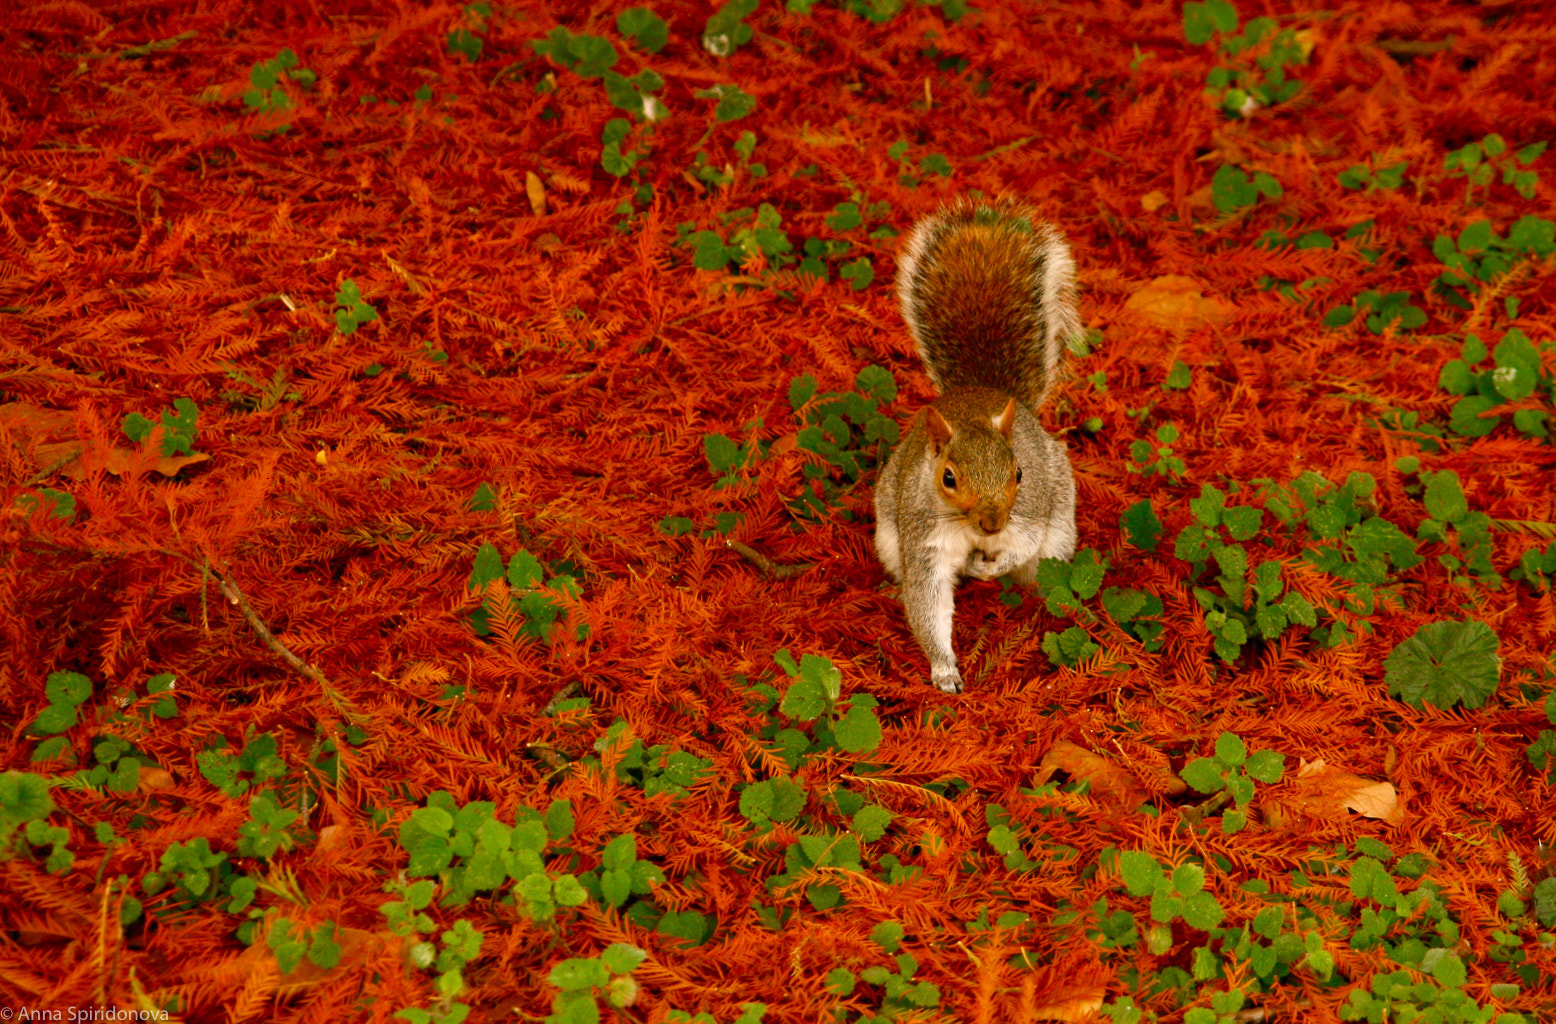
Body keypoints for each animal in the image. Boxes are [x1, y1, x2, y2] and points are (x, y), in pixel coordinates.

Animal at [874, 198, 1082, 694]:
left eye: (1019, 472)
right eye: (947, 478)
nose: (992, 523)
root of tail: (981, 388)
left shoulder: (1030, 512)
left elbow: (1024, 545)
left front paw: (988, 568)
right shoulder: (923, 539)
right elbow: (927, 602)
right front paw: (944, 668)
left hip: (1059, 531)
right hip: (889, 536)